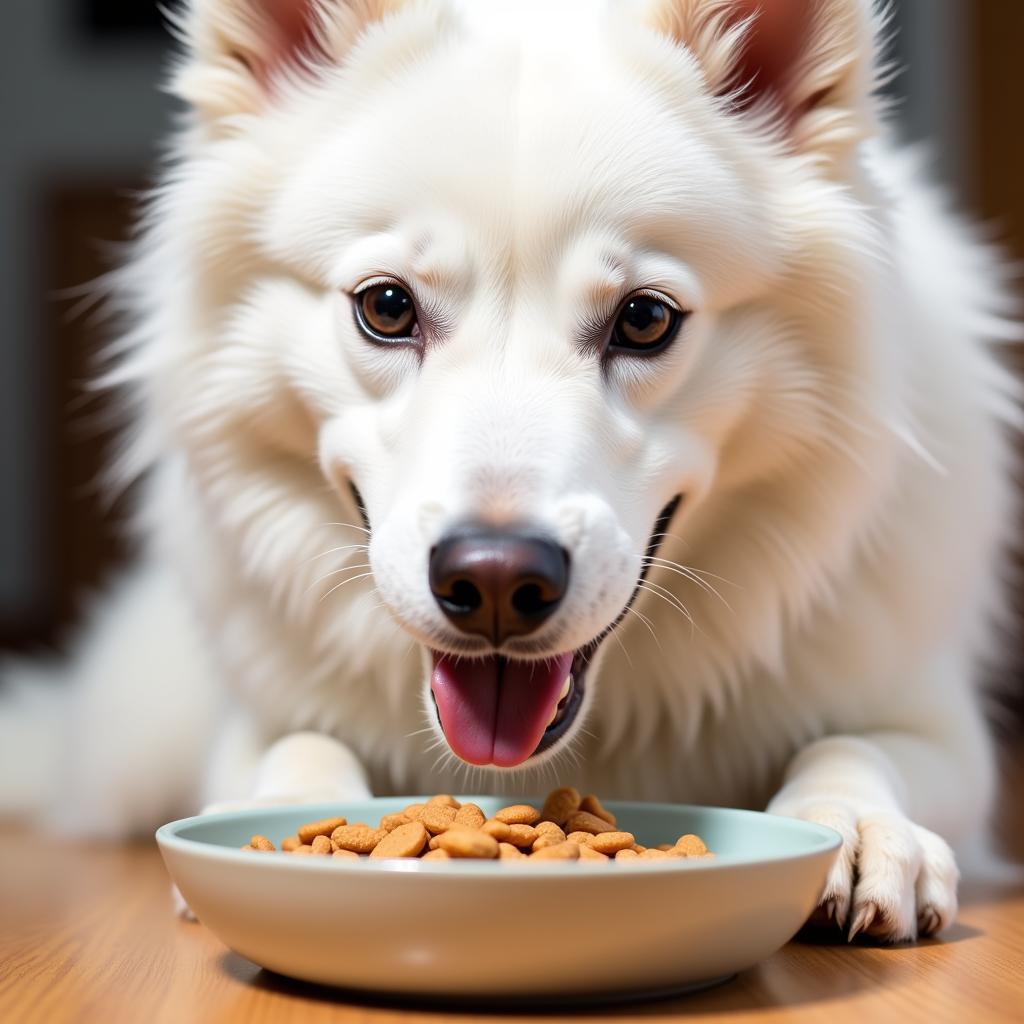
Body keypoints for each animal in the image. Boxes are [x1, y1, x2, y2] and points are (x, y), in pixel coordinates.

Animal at [0, 0, 1015, 942]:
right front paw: (274, 822)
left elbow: (858, 747)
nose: (491, 583)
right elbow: (296, 745)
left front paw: (858, 822)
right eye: (385, 307)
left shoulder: (936, 725)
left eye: (646, 318)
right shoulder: (258, 717)